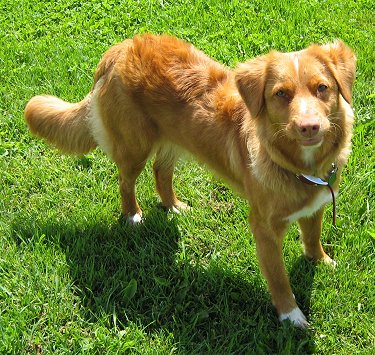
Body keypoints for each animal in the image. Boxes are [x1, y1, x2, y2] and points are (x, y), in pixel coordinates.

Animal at [25, 34, 356, 328]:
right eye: (281, 94)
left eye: (322, 88)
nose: (309, 127)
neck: (299, 165)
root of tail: (120, 49)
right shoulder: (264, 229)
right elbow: (279, 277)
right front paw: (291, 315)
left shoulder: (317, 204)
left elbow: (312, 237)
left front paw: (320, 262)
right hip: (134, 146)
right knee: (125, 181)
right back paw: (133, 215)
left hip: (174, 139)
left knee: (161, 171)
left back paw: (173, 206)